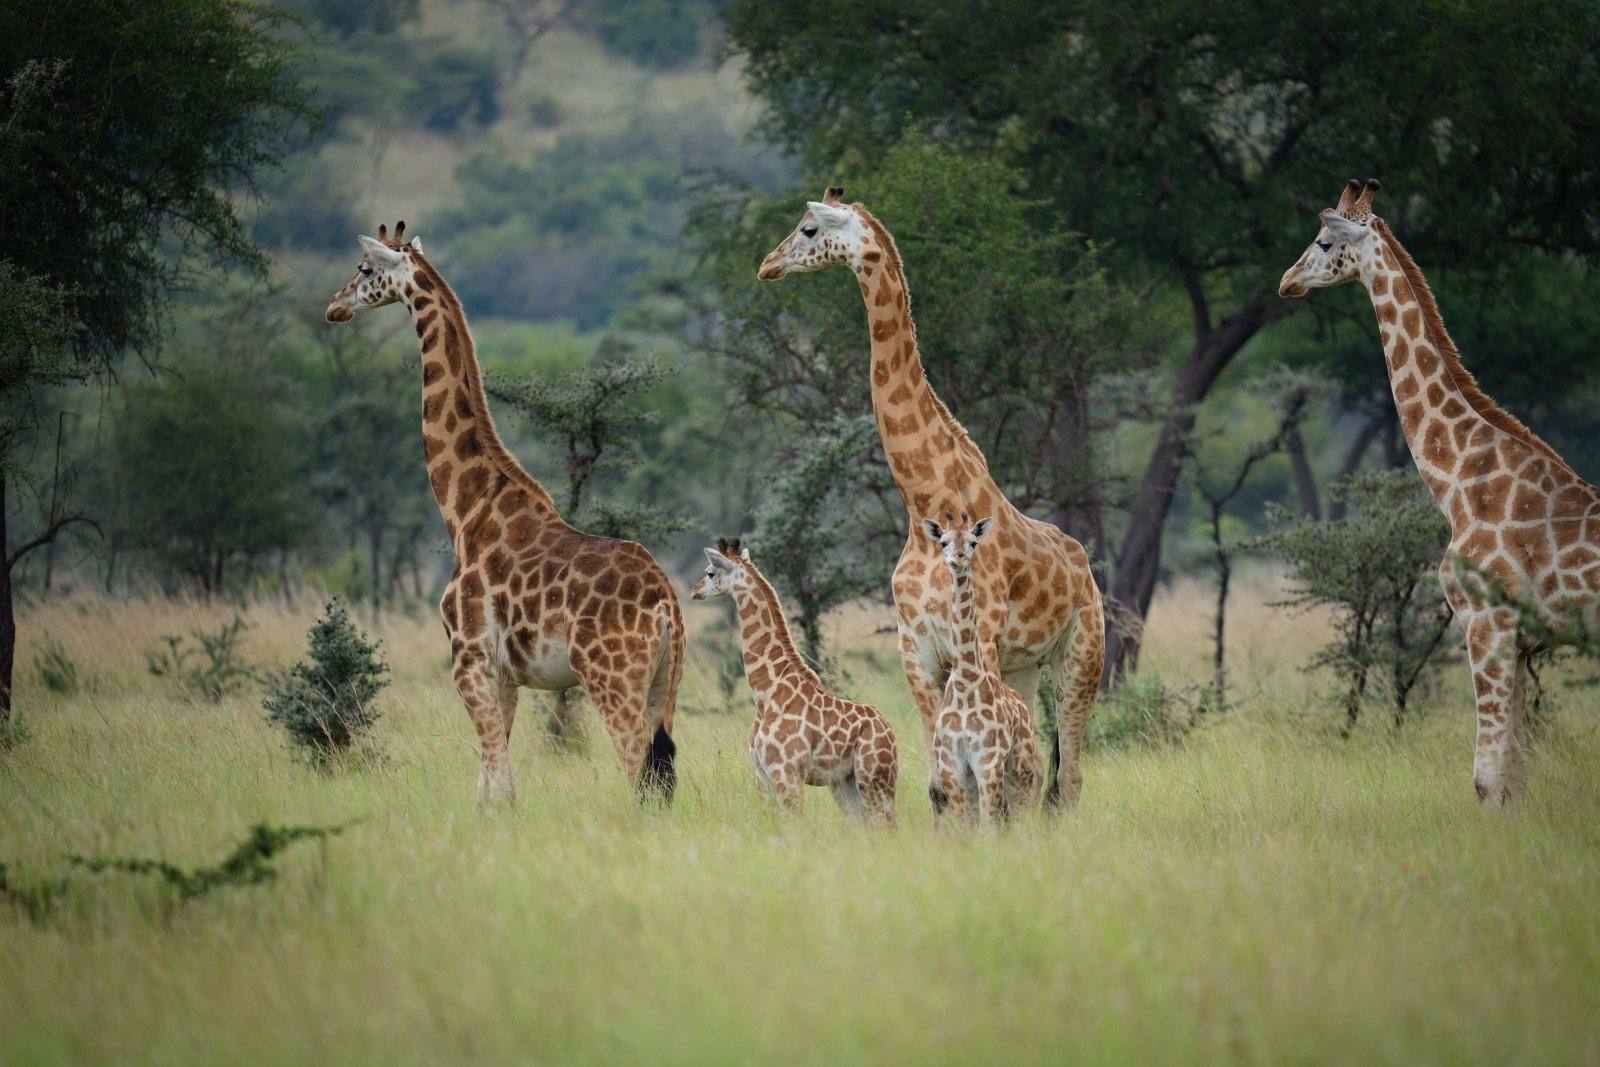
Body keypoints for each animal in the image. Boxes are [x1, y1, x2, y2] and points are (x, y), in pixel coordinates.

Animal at [325, 223, 684, 805]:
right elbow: (490, 784)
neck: (465, 509)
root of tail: (668, 602)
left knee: (639, 771)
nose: (334, 307)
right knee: (664, 774)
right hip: (664, 683)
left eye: (363, 268)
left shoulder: (468, 656)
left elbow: (498, 783)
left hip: (612, 677)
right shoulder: (506, 675)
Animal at [691, 538, 898, 823]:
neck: (766, 693)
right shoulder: (763, 774)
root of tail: (890, 732)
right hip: (844, 782)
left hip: (874, 779)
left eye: (710, 572)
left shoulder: (786, 772)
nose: (694, 591)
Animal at [920, 513, 1043, 825]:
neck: (966, 681)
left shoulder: (988, 761)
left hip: (1019, 764)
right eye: (943, 542)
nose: (958, 558)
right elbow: (966, 824)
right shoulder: (953, 766)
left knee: (1022, 809)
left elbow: (988, 825)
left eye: (973, 542)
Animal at [1280, 179, 1600, 804]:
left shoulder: (1487, 628)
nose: (1287, 281)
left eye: (1324, 241)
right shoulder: (1518, 641)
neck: (1458, 483)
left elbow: (1487, 779)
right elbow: (1514, 777)